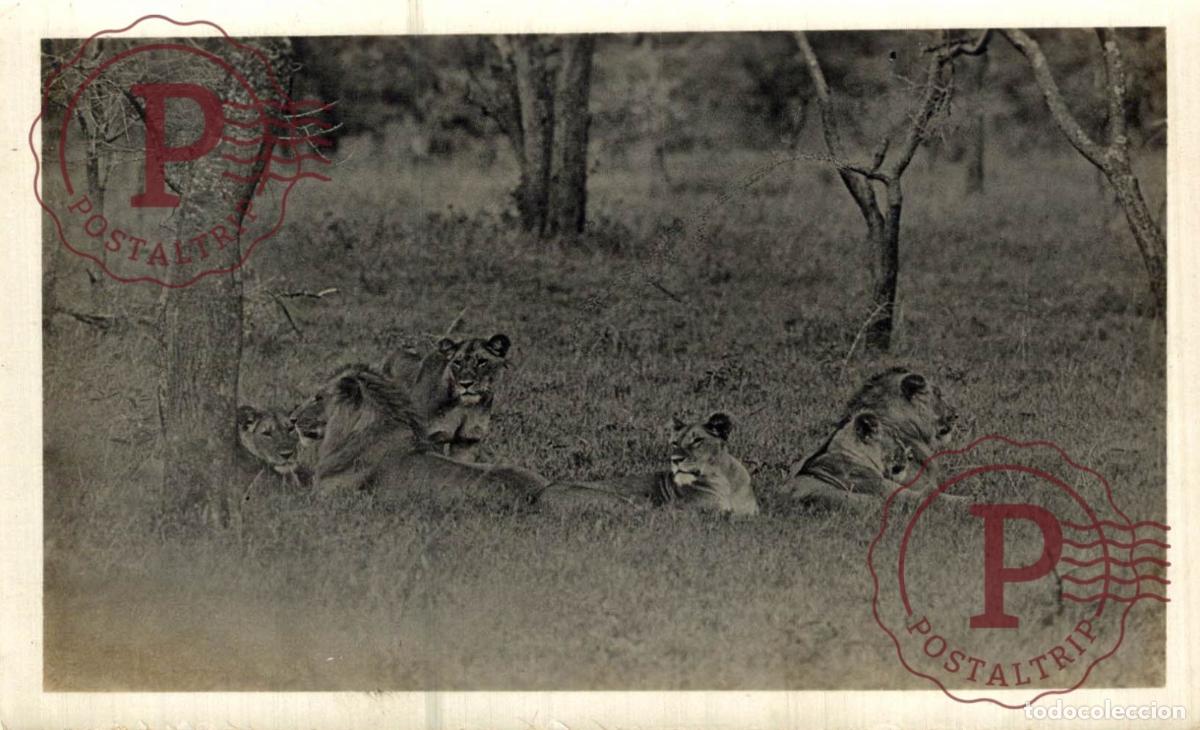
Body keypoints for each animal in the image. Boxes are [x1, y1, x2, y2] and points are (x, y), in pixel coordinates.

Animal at [380, 333, 512, 462]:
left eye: (482, 361)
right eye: (457, 362)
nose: (465, 384)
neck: (464, 407)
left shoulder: (468, 440)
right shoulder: (431, 438)